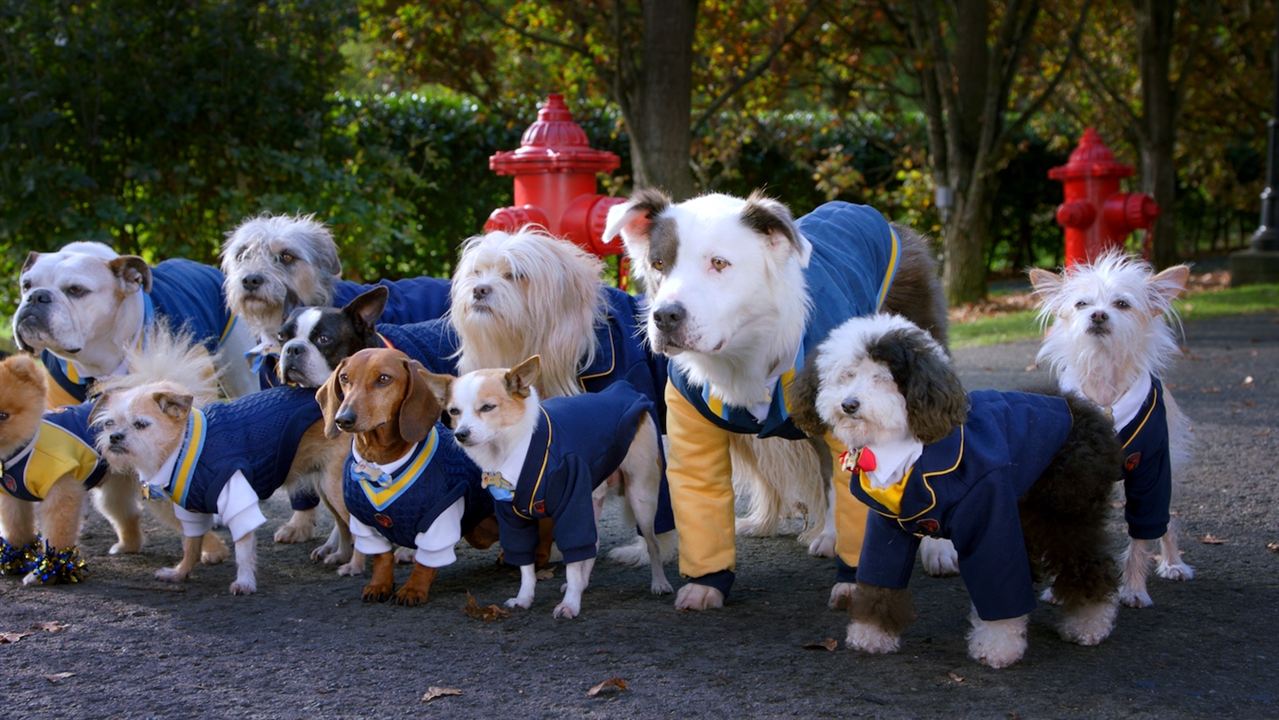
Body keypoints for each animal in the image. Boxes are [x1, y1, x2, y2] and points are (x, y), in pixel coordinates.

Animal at [0, 355, 141, 585]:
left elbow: (57, 533)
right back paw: (127, 546)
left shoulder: (61, 491)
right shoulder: (13, 497)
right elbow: (16, 529)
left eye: (3, 415)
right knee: (127, 512)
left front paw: (49, 570)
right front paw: (14, 558)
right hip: (113, 490)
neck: (24, 448)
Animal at [429, 358, 670, 616]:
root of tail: (625, 390)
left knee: (653, 543)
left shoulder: (571, 508)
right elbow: (525, 564)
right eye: (454, 412)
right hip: (591, 498)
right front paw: (524, 597)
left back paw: (659, 583)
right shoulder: (513, 520)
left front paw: (570, 604)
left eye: (487, 407)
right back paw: (584, 584)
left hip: (641, 497)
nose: (461, 434)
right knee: (593, 543)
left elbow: (572, 557)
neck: (510, 449)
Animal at [798, 315, 1120, 670]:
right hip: (1027, 511)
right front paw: (872, 634)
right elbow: (880, 579)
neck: (912, 453)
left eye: (882, 378)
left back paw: (1089, 623)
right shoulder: (886, 528)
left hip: (1064, 512)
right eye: (847, 374)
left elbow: (998, 581)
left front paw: (997, 646)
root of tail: (1076, 404)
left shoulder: (989, 520)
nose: (849, 405)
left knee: (1089, 565)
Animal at [1028, 253, 1197, 608]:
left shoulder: (1152, 474)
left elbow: (1143, 535)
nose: (1098, 314)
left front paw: (1133, 589)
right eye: (1081, 304)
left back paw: (1173, 562)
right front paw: (1058, 589)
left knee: (1166, 521)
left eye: (1122, 304)